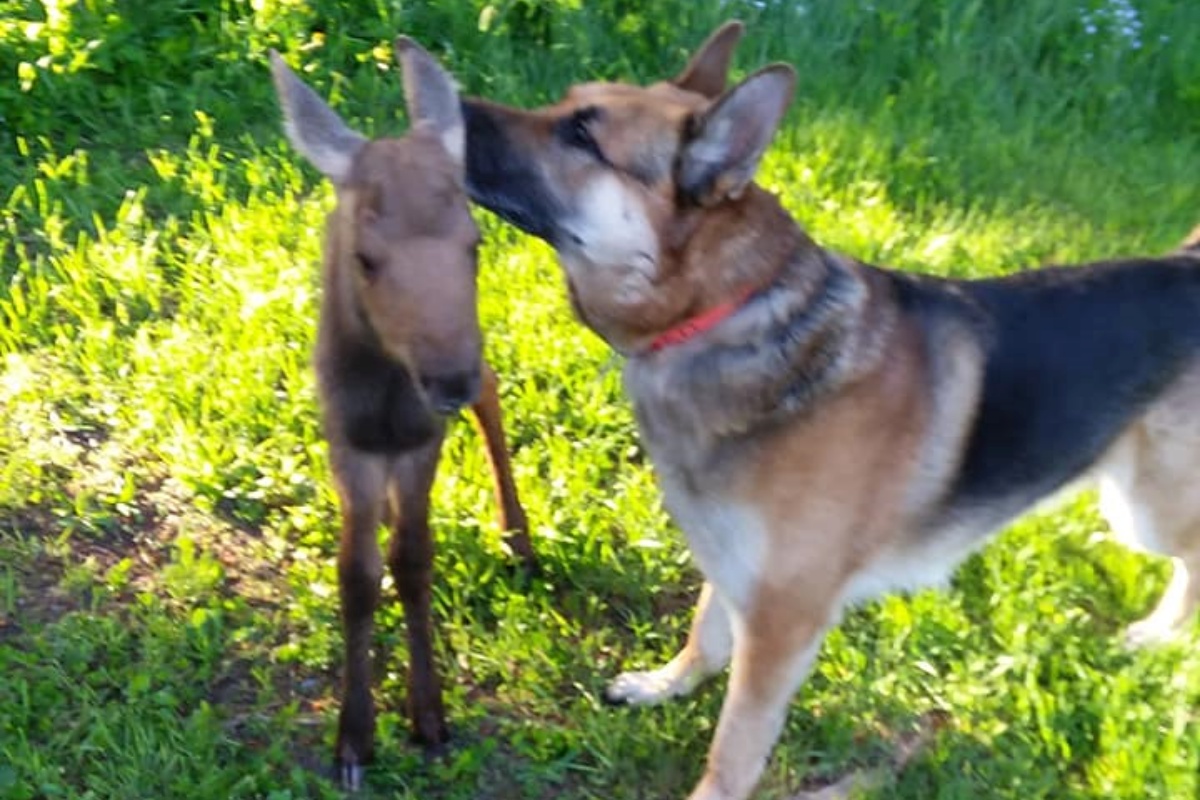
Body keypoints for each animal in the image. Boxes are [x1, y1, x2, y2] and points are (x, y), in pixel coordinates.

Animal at [458, 18, 1200, 800]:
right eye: (566, 104)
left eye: (581, 135)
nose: (440, 96)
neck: (732, 309)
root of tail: (1189, 263)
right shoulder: (735, 571)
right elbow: (703, 636)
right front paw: (666, 685)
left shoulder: (784, 624)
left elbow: (736, 746)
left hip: (1146, 511)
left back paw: (1155, 636)